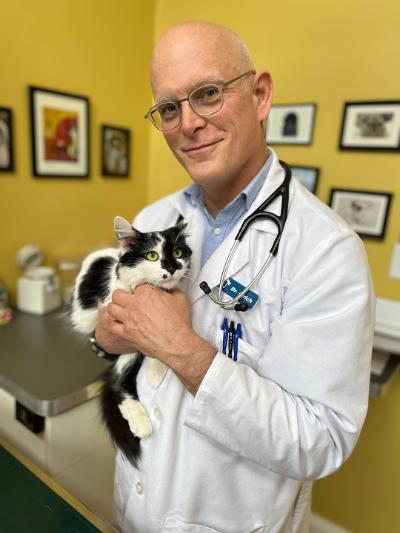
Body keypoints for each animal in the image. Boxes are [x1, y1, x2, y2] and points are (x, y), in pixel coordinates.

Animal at [69, 216, 191, 466]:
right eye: (152, 255)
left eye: (177, 252)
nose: (172, 268)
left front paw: (156, 371)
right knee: (117, 381)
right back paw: (140, 421)